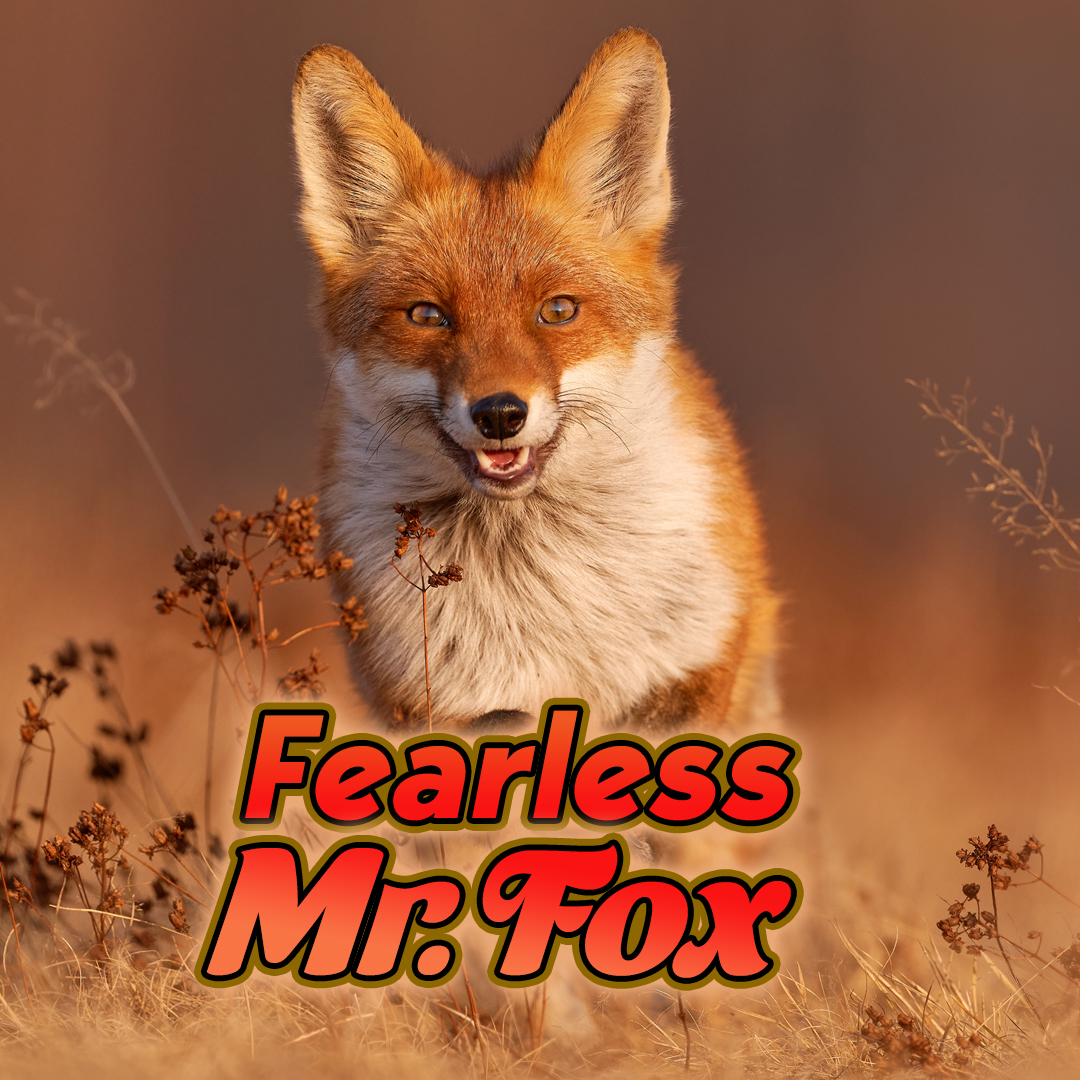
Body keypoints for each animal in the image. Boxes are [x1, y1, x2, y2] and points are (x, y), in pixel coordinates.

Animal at [291, 28, 779, 735]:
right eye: (428, 316)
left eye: (558, 311)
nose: (499, 413)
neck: (548, 594)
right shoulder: (460, 707)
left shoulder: (688, 679)